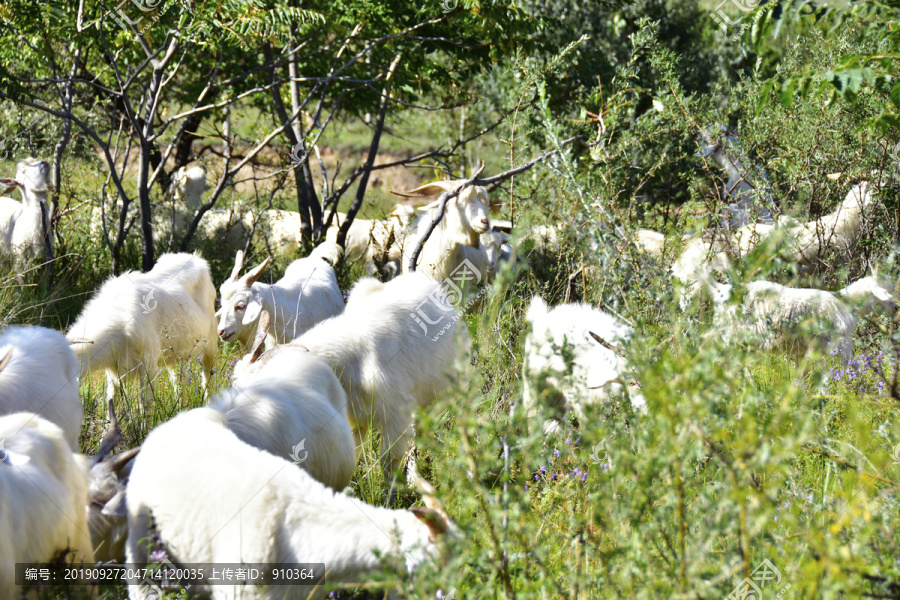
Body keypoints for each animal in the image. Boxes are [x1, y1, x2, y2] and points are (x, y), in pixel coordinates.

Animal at [67, 252, 219, 412]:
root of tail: (197, 258)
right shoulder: (114, 369)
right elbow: (111, 400)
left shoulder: (149, 365)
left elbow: (145, 404)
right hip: (176, 356)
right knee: (179, 383)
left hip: (211, 343)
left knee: (208, 378)